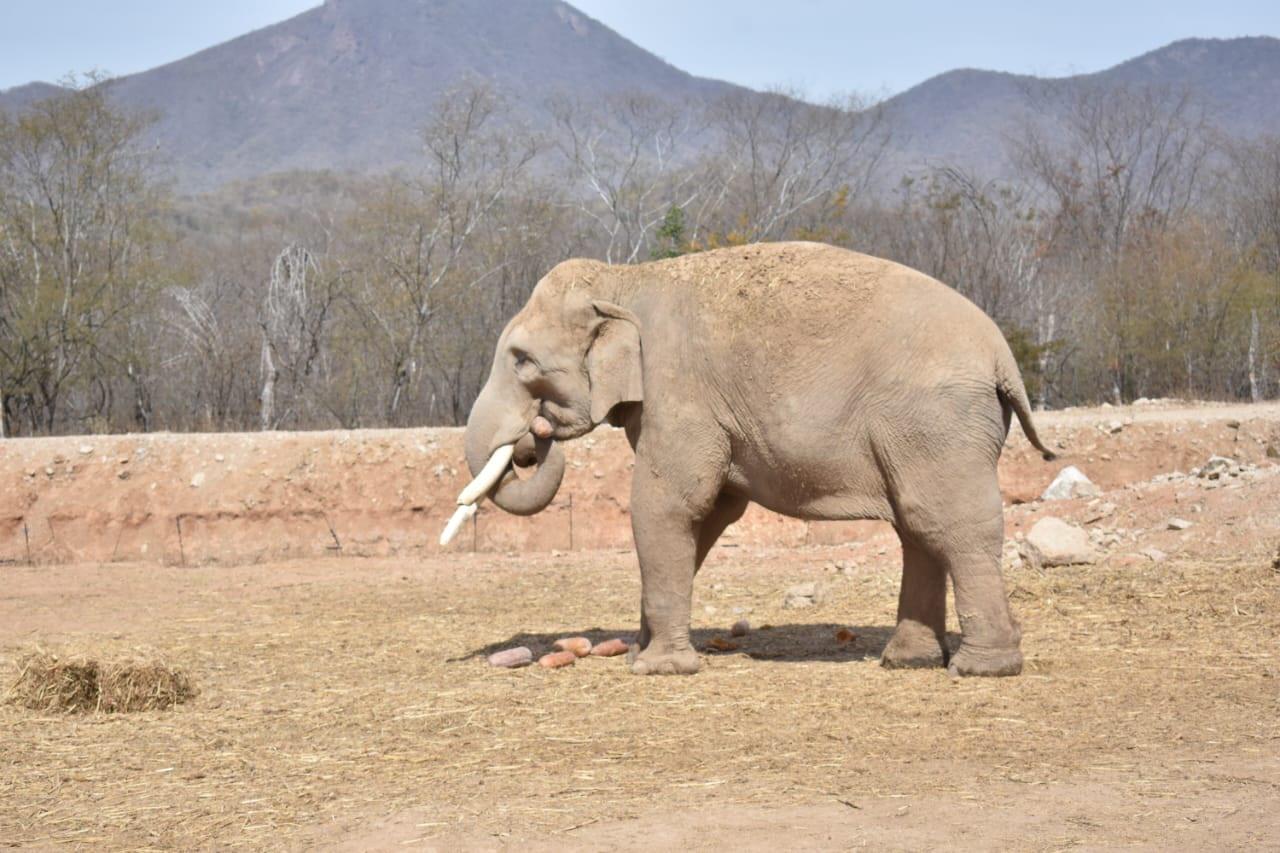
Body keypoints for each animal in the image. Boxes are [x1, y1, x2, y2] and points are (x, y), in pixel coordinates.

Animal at [455, 240, 1054, 676]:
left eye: (522, 360)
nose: (532, 439)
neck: (624, 278)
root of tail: (1001, 356)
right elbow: (711, 513)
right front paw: (640, 653)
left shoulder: (679, 394)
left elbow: (668, 505)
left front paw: (657, 669)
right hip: (925, 431)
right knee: (916, 525)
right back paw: (910, 662)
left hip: (935, 421)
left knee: (948, 522)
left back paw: (982, 669)